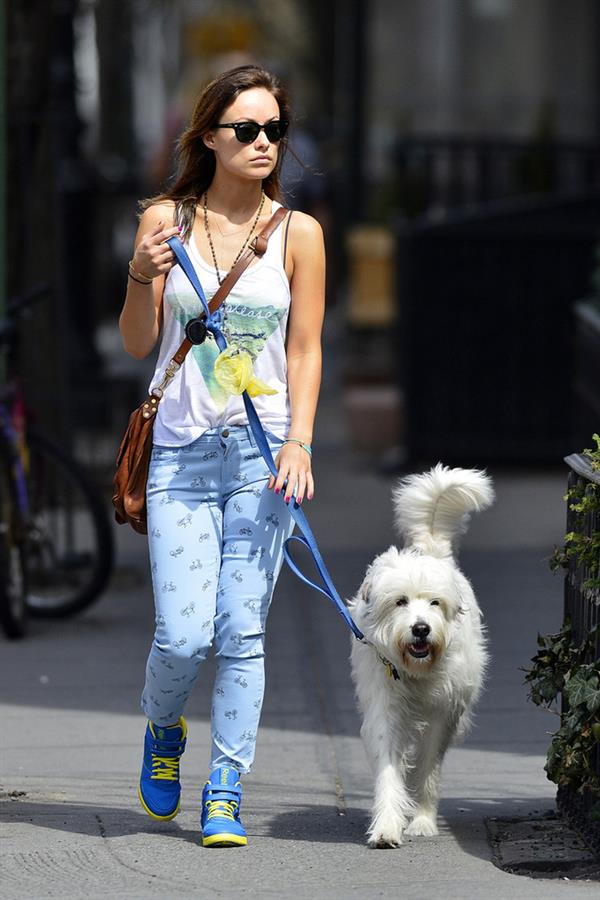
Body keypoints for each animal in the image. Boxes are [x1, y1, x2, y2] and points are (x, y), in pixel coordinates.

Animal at [350, 468, 494, 848]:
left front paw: (423, 821)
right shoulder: (385, 709)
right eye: (400, 601)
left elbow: (429, 767)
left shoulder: (444, 713)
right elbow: (388, 769)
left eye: (434, 603)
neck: (414, 670)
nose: (421, 629)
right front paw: (387, 826)